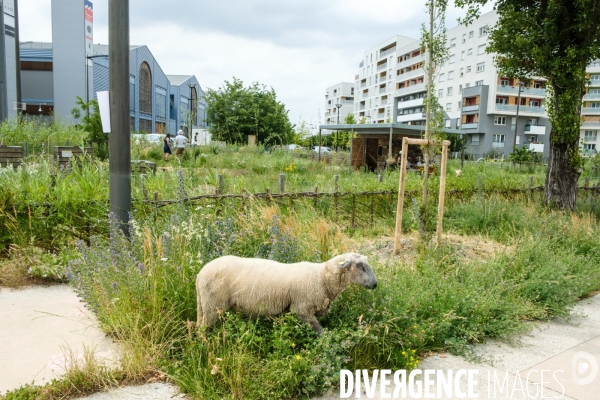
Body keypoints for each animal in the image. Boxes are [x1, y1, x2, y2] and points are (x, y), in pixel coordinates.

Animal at [196, 253, 376, 334]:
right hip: (212, 305)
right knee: (203, 330)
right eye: (360, 266)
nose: (375, 284)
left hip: (205, 306)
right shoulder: (302, 310)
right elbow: (321, 332)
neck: (322, 278)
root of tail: (199, 275)